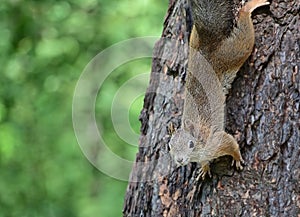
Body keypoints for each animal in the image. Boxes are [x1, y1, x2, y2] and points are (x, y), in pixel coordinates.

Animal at [169, 0, 270, 180]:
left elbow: (231, 144)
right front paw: (204, 168)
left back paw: (249, 7)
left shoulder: (216, 141)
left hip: (233, 53)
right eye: (170, 145)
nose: (180, 160)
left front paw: (237, 159)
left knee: (244, 36)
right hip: (194, 41)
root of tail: (208, 43)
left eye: (191, 144)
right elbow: (204, 162)